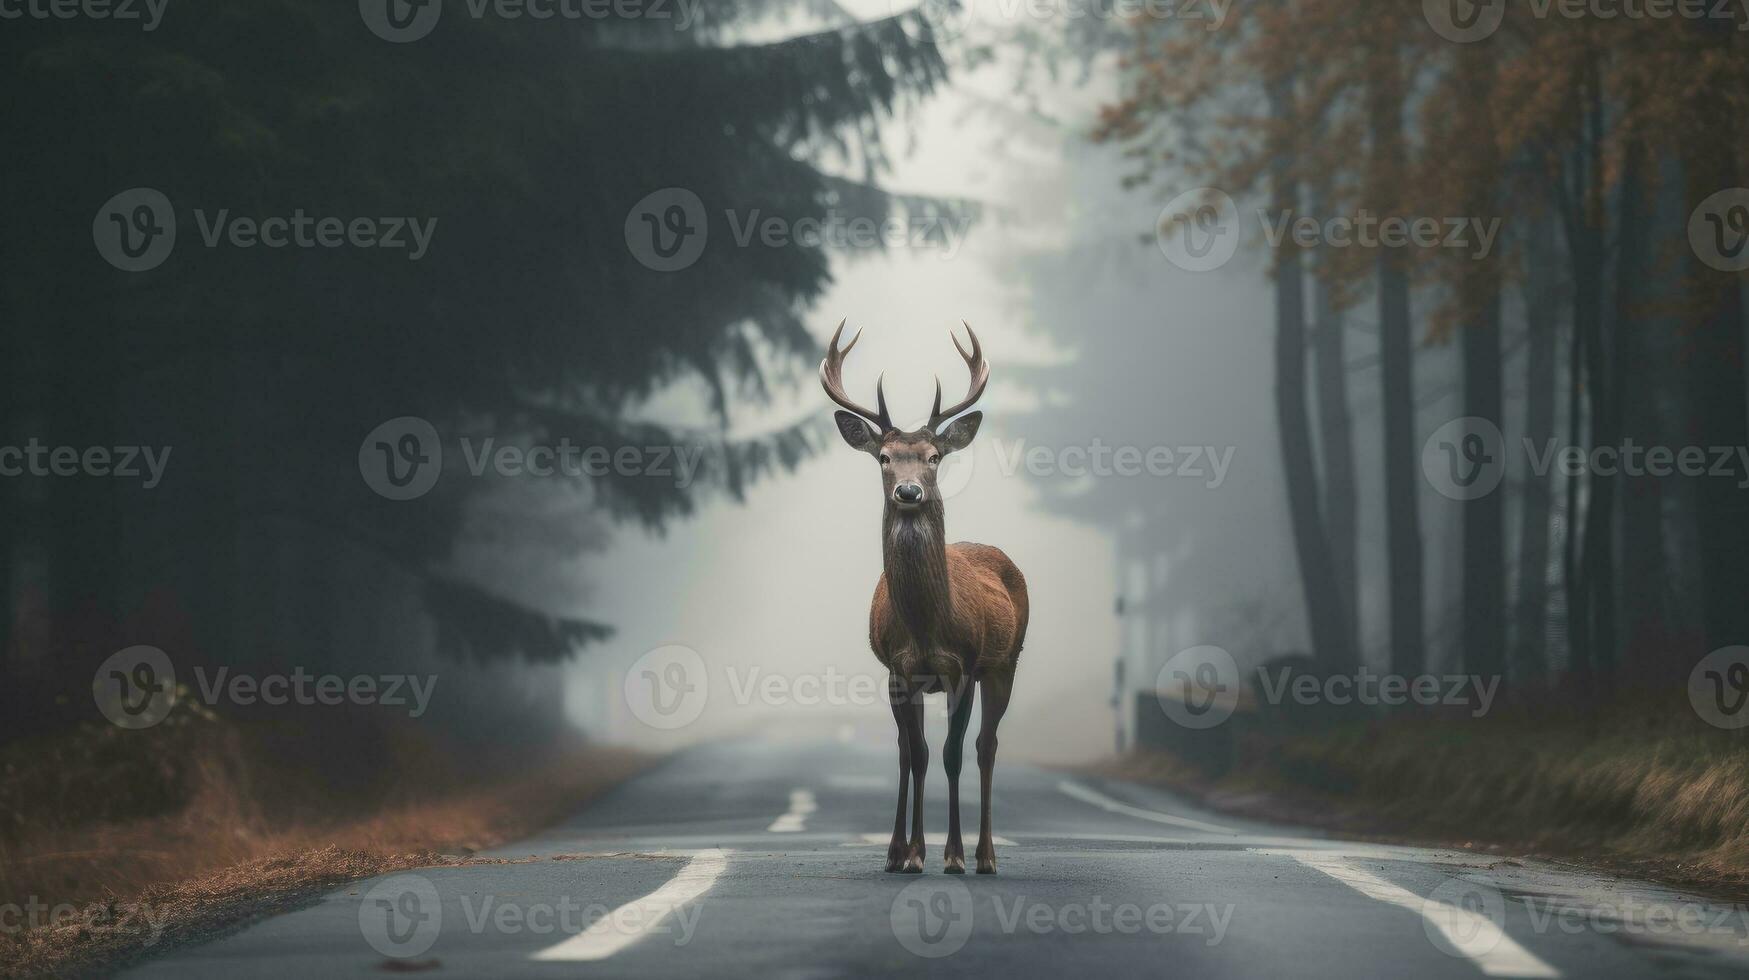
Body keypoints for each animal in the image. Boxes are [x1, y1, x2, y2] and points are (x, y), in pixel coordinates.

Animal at [818, 320, 1021, 871]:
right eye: (885, 458)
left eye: (933, 457)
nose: (908, 491)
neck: (928, 626)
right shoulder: (897, 668)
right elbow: (914, 753)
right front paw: (902, 853)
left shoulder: (963, 666)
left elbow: (951, 753)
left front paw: (952, 855)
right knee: (924, 751)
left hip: (1005, 662)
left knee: (987, 745)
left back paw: (986, 856)